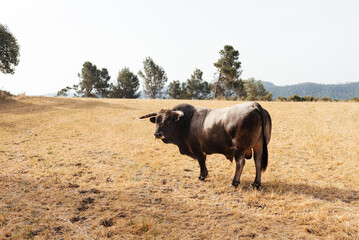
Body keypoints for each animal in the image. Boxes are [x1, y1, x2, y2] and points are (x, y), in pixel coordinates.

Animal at [141, 102, 272, 188]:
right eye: (157, 120)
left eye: (168, 120)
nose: (157, 134)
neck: (185, 122)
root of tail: (254, 105)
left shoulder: (197, 149)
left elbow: (201, 161)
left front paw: (202, 176)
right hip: (259, 146)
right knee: (258, 163)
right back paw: (256, 183)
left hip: (239, 148)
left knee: (240, 163)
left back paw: (234, 182)